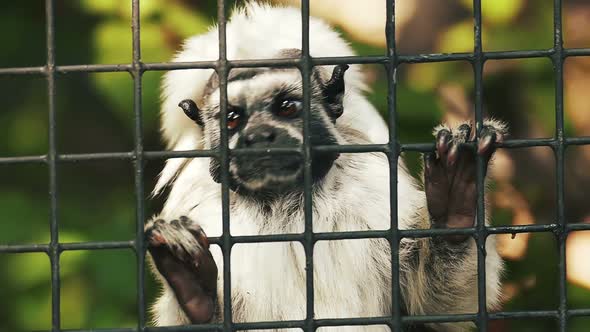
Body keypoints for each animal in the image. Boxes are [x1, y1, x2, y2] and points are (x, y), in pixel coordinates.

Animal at [146, 3, 506, 332]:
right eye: (233, 119)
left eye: (286, 107)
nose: (259, 136)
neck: (283, 204)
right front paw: (195, 289)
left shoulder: (376, 197)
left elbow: (433, 311)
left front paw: (454, 204)